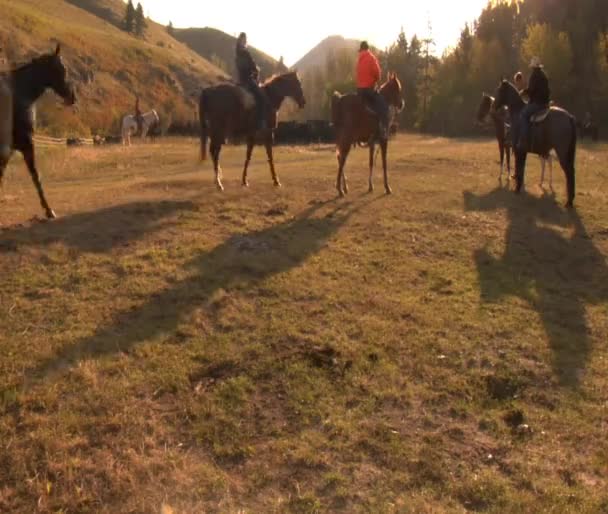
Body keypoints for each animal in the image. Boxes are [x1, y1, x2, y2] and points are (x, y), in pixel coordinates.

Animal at [0, 44, 76, 218]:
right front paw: (49, 210)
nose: (72, 97)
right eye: (62, 69)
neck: (20, 93)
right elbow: (35, 175)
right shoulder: (26, 143)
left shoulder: (10, 148)